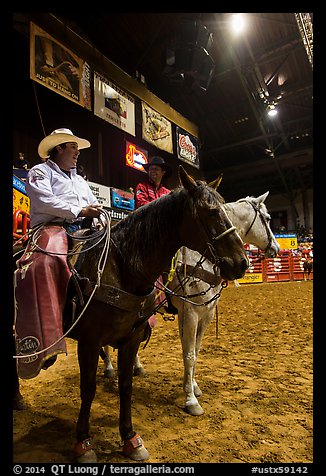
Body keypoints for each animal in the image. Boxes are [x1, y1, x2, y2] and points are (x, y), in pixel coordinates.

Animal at [12, 166, 247, 462]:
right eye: (211, 212)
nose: (242, 263)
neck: (122, 267)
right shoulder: (89, 342)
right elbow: (88, 388)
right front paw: (83, 442)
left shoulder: (132, 339)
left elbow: (126, 385)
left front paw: (130, 438)